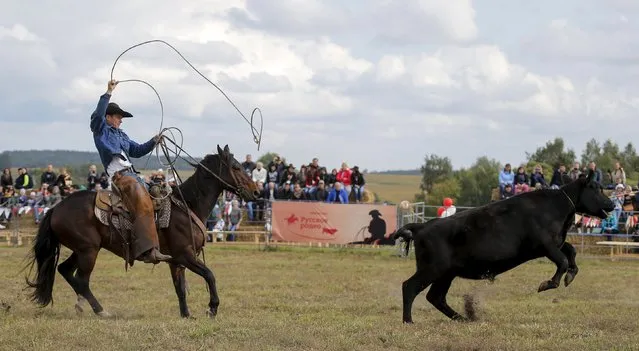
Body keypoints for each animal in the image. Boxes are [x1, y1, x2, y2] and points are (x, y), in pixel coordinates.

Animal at [24, 144, 260, 320]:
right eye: (236, 167)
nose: (256, 191)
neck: (188, 205)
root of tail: (55, 208)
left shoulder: (176, 261)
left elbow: (180, 288)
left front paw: (186, 315)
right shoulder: (185, 254)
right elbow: (210, 275)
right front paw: (212, 307)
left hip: (83, 249)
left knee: (65, 270)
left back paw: (83, 305)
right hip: (88, 250)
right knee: (82, 280)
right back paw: (100, 310)